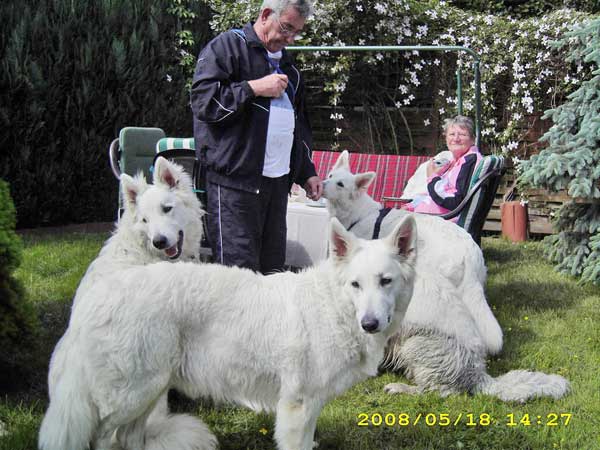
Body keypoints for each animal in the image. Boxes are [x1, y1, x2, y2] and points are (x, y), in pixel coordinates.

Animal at [38, 216, 418, 450]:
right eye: (356, 284)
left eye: (385, 281)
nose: (369, 324)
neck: (335, 307)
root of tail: (101, 291)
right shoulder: (297, 407)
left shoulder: (309, 408)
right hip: (131, 394)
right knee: (103, 437)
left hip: (149, 390)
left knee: (129, 438)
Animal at [322, 150, 570, 402]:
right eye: (331, 176)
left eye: (340, 184)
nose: (321, 184)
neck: (358, 213)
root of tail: (479, 375)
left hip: (416, 342)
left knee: (438, 391)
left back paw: (402, 388)